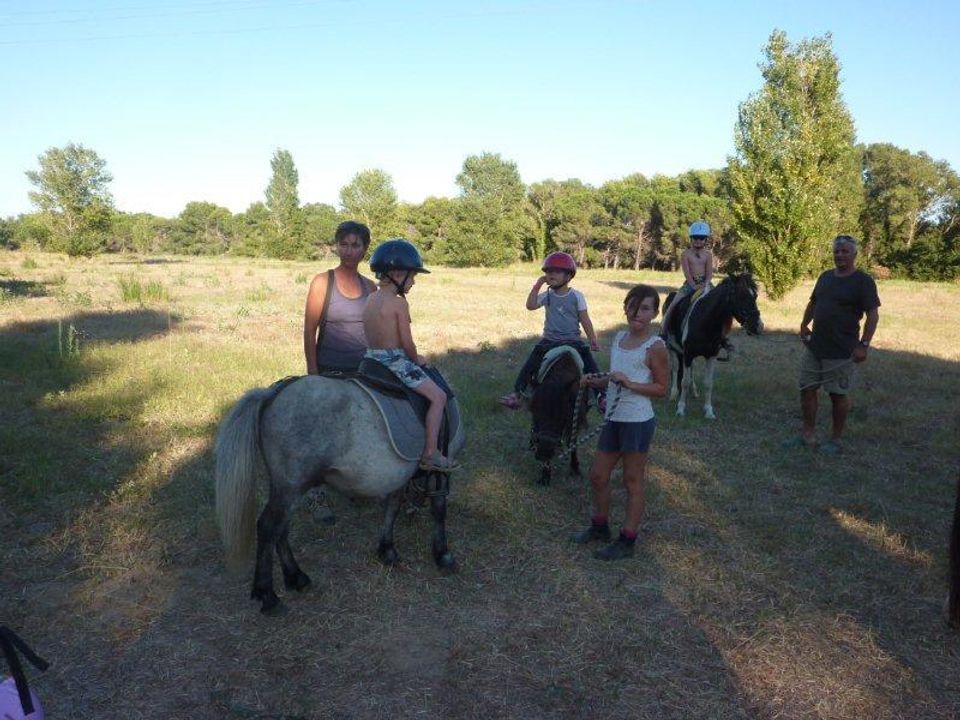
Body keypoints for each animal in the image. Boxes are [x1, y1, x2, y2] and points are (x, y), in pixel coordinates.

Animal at [213, 376, 464, 612]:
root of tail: (272, 394)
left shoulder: (400, 475)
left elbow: (392, 507)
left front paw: (387, 550)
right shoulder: (441, 470)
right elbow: (439, 509)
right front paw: (443, 555)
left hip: (287, 489)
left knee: (280, 530)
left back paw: (296, 577)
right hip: (290, 488)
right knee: (268, 528)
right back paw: (268, 596)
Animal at [664, 276, 760, 422]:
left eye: (755, 296)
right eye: (741, 296)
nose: (758, 326)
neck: (706, 321)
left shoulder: (711, 355)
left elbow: (708, 383)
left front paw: (709, 411)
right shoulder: (688, 354)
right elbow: (684, 381)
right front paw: (680, 409)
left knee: (690, 371)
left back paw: (694, 391)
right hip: (672, 349)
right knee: (675, 369)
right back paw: (674, 393)